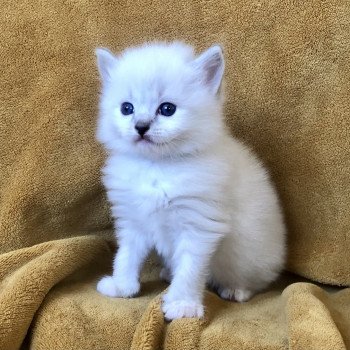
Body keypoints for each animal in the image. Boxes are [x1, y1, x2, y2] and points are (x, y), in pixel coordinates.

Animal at [94, 41, 286, 320]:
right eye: (126, 108)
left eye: (167, 109)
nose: (140, 126)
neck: (158, 167)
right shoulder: (133, 220)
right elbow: (126, 255)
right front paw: (122, 286)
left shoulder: (199, 226)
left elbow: (190, 270)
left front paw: (181, 305)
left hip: (250, 255)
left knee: (257, 280)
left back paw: (236, 289)